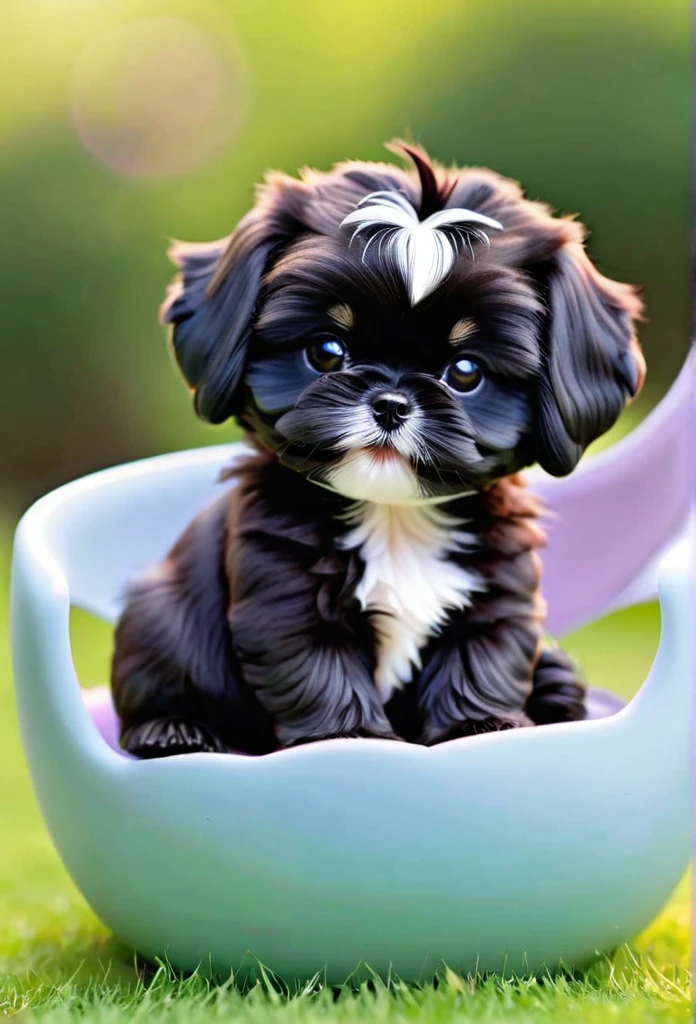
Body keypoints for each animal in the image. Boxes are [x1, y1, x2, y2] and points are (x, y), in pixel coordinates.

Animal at [111, 140, 642, 757]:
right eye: (326, 351)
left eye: (466, 371)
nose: (390, 402)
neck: (393, 517)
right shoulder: (283, 594)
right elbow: (319, 668)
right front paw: (349, 737)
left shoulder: (498, 591)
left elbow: (482, 658)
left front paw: (481, 727)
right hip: (159, 618)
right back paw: (174, 730)